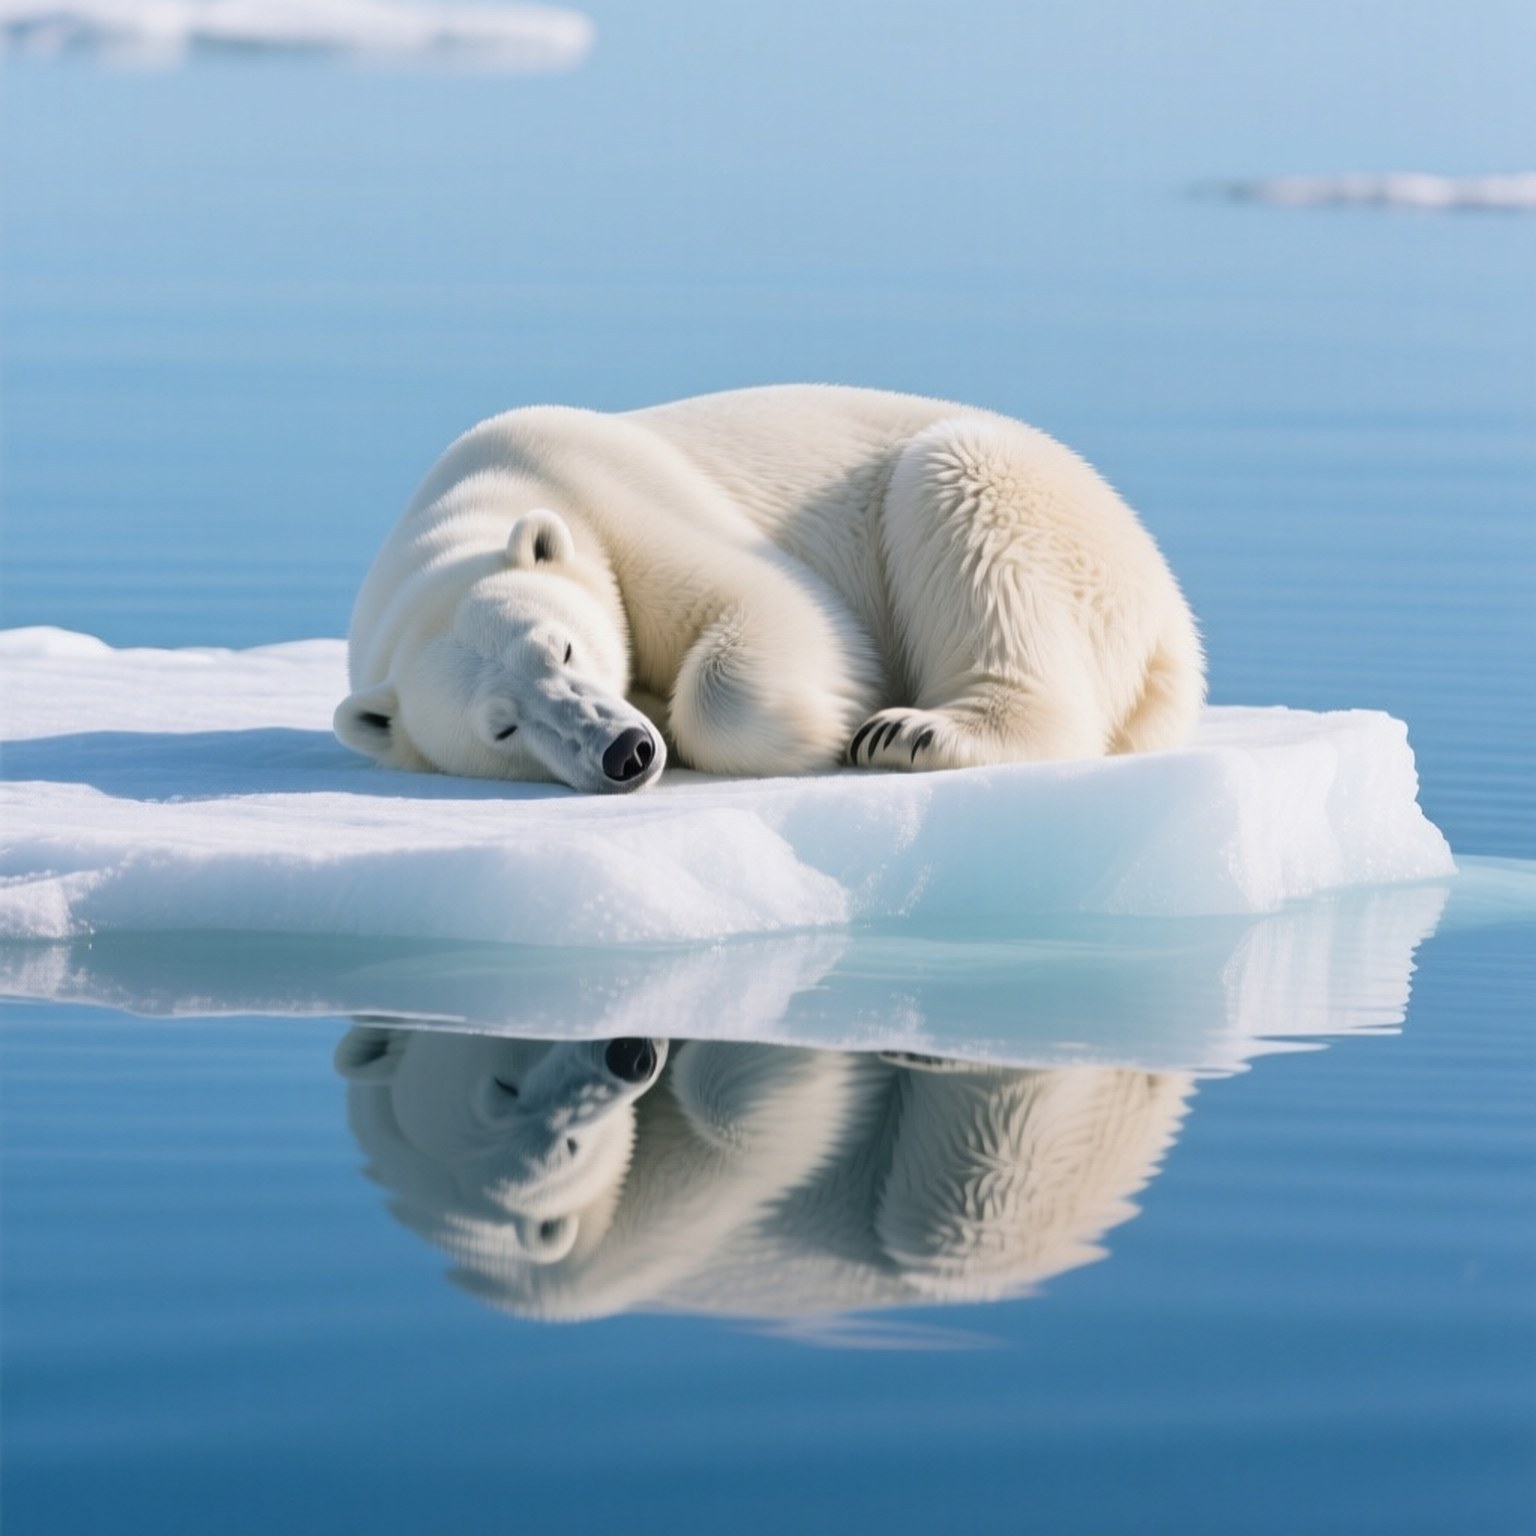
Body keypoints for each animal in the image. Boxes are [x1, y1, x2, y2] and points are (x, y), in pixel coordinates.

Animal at [334, 385, 1204, 791]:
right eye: (502, 727)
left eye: (566, 649)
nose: (624, 750)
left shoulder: (611, 495)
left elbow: (782, 612)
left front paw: (828, 721)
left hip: (1039, 516)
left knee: (965, 497)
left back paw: (912, 733)